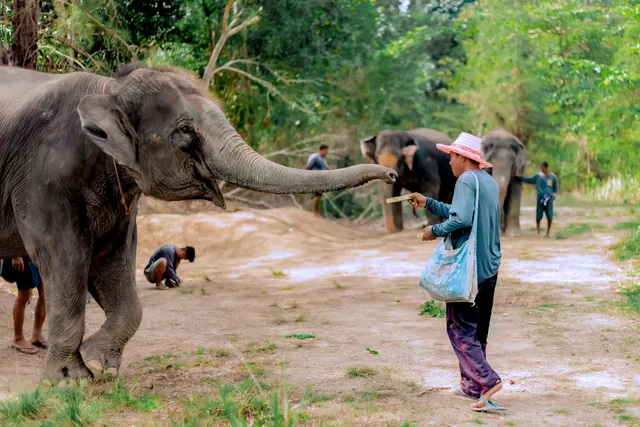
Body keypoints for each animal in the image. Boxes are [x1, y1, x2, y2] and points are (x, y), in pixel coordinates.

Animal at [0, 63, 396, 382]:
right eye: (185, 130)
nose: (392, 175)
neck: (109, 88)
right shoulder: (41, 181)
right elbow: (64, 257)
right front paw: (71, 381)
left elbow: (112, 262)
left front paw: (100, 364)